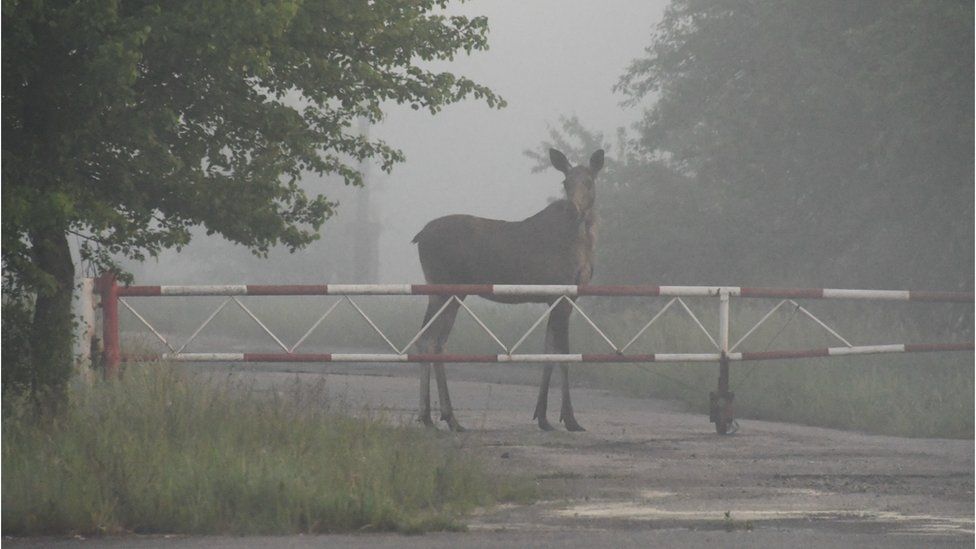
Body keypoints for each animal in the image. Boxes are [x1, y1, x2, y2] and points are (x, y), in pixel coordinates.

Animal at [410, 148, 604, 430]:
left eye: (589, 182)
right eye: (565, 182)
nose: (573, 208)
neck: (583, 243)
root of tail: (419, 236)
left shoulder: (559, 297)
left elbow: (548, 350)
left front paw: (542, 415)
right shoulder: (562, 293)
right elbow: (564, 354)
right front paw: (569, 418)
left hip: (450, 293)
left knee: (432, 341)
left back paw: (434, 416)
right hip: (443, 289)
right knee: (429, 340)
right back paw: (443, 416)